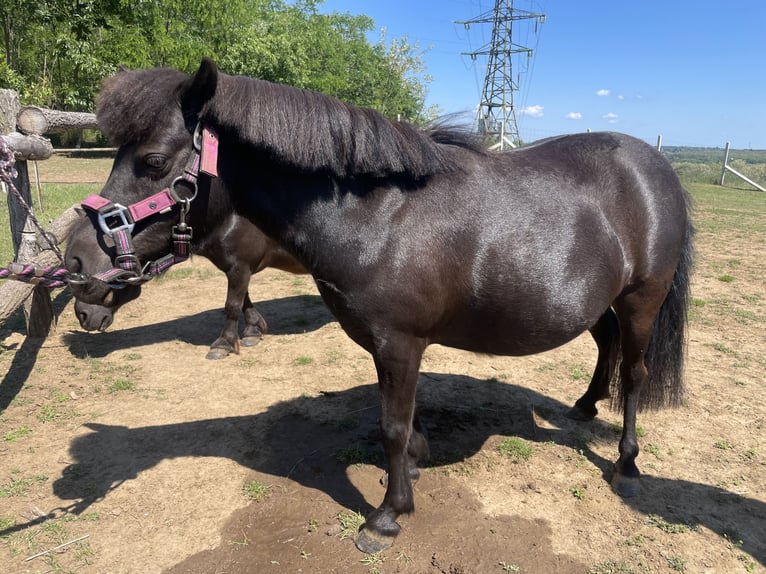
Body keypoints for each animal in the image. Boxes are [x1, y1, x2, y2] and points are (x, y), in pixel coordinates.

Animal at [71, 200, 306, 360]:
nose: (82, 314)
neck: (227, 219)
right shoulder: (238, 269)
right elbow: (243, 300)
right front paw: (253, 330)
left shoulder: (240, 267)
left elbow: (232, 305)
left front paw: (223, 343)